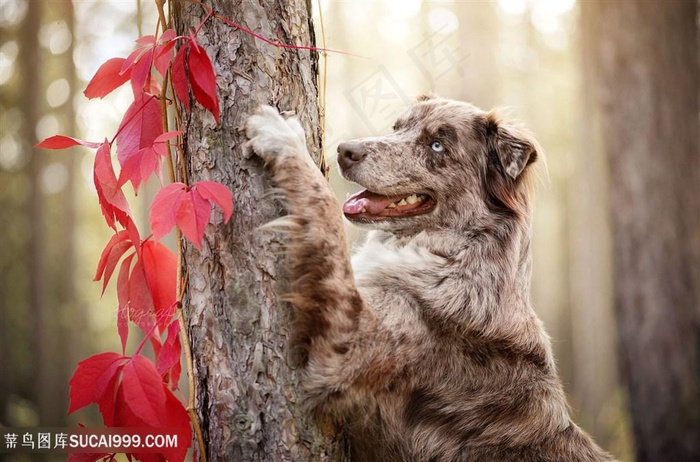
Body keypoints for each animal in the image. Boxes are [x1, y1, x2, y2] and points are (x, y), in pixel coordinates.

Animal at [243, 94, 616, 462]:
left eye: (437, 145)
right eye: (397, 128)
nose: (345, 150)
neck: (453, 255)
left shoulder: (345, 343)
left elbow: (327, 212)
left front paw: (283, 138)